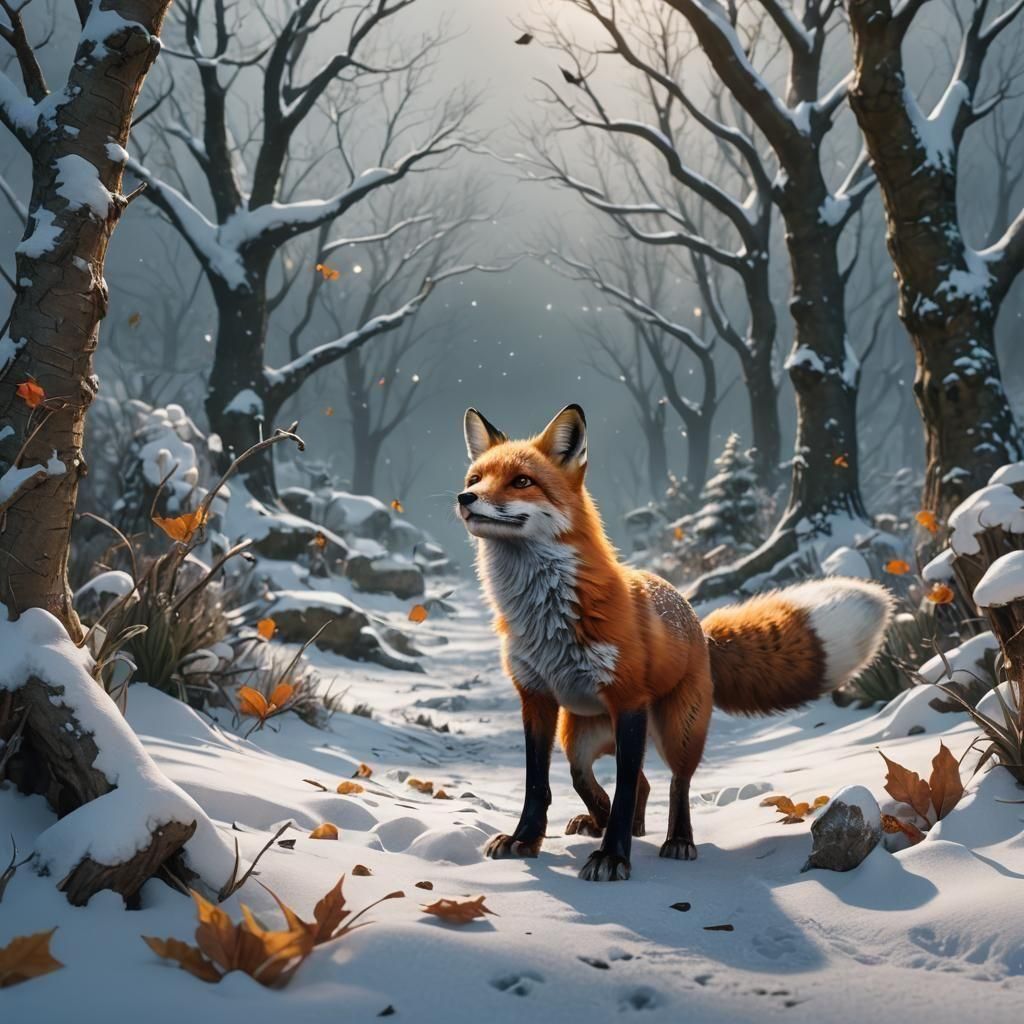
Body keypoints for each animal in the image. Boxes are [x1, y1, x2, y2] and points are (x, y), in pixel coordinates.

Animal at [456, 403, 894, 882]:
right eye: (475, 478)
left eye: (521, 481)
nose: (465, 499)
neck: (548, 618)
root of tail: (698, 626)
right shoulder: (535, 697)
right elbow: (538, 784)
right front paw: (525, 841)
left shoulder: (628, 700)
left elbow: (625, 788)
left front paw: (613, 858)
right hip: (581, 734)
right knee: (597, 778)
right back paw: (601, 822)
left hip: (675, 731)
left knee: (672, 784)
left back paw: (676, 840)